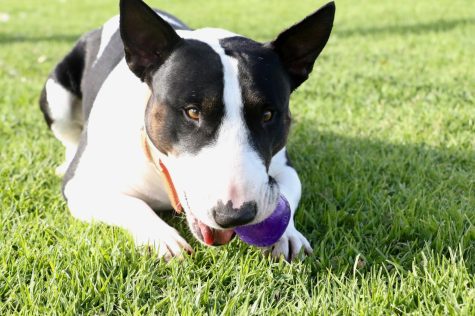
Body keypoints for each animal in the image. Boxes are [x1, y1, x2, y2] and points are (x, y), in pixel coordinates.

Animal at [39, 0, 334, 262]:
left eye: (268, 115)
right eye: (192, 112)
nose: (234, 216)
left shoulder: (285, 167)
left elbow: (286, 194)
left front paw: (286, 235)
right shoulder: (80, 187)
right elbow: (130, 204)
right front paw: (161, 238)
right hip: (57, 95)